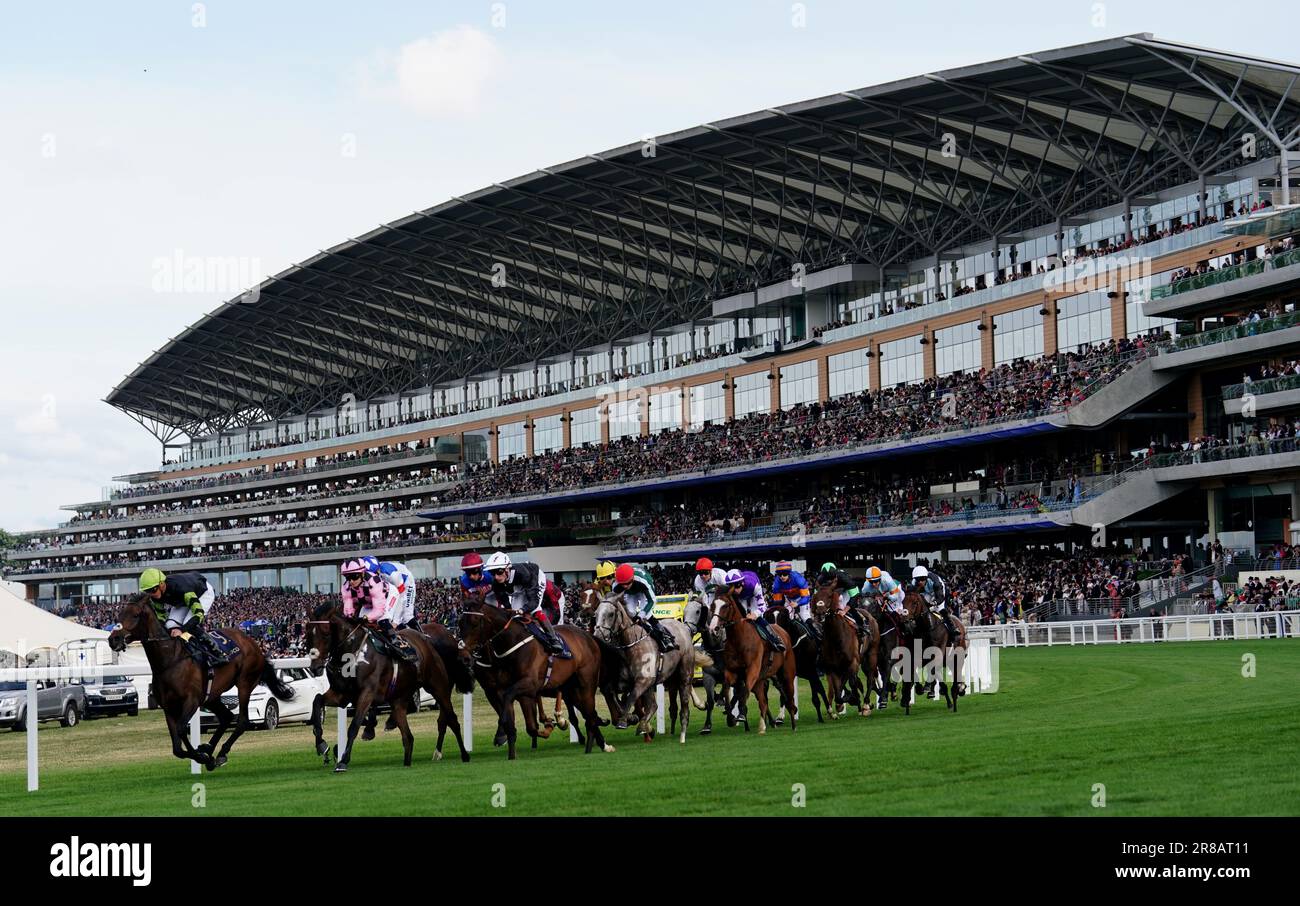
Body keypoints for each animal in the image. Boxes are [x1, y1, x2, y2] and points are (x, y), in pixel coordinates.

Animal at [106, 592, 295, 769]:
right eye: (120, 614)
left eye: (135, 615)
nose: (113, 639)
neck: (170, 661)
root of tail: (253, 643)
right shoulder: (169, 708)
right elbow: (177, 748)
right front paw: (203, 755)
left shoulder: (191, 700)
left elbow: (182, 729)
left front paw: (202, 756)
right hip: (212, 696)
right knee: (226, 717)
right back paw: (210, 749)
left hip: (245, 683)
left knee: (241, 721)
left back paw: (220, 753)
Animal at [304, 600, 467, 769]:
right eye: (307, 633)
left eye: (325, 633)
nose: (315, 667)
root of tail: (427, 640)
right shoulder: (342, 695)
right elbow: (317, 701)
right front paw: (322, 744)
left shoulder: (367, 693)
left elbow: (354, 725)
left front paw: (343, 760)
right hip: (400, 697)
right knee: (408, 736)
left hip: (439, 686)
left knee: (450, 719)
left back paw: (462, 754)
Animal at [457, 592, 613, 753]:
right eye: (460, 623)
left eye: (475, 623)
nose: (464, 657)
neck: (512, 643)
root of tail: (588, 636)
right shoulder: (496, 690)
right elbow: (521, 720)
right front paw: (507, 734)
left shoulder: (529, 684)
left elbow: (510, 701)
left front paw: (503, 733)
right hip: (571, 687)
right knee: (588, 712)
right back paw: (599, 741)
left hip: (586, 683)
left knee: (590, 712)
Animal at [707, 587, 795, 733]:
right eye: (712, 605)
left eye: (726, 605)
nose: (713, 628)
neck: (739, 639)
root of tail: (783, 632)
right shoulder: (731, 672)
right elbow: (726, 690)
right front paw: (730, 717)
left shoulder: (752, 670)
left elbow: (744, 692)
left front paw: (741, 715)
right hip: (761, 680)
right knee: (763, 702)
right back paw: (763, 726)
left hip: (787, 673)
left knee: (789, 695)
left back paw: (792, 723)